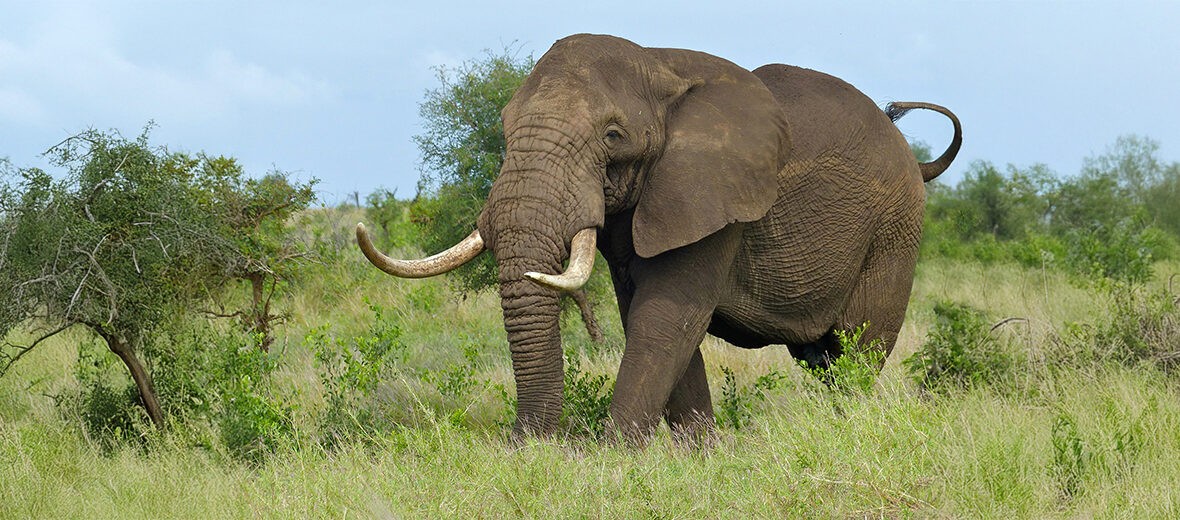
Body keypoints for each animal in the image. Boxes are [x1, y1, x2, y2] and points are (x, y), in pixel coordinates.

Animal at [357, 34, 961, 440]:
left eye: (612, 135)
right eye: (503, 129)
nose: (529, 450)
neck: (658, 63)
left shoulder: (719, 195)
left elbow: (668, 315)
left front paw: (611, 463)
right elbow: (650, 317)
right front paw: (702, 459)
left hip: (895, 230)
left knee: (857, 352)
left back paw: (846, 433)